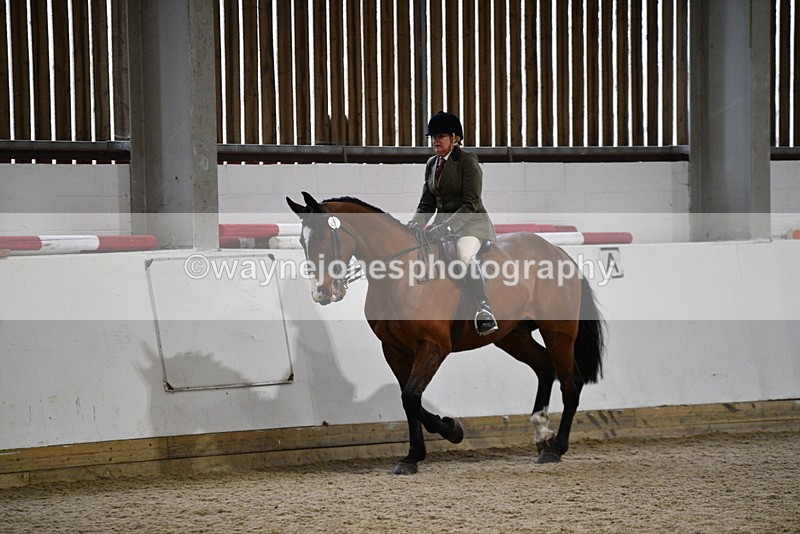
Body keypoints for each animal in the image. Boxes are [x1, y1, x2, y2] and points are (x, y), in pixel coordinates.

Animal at [287, 192, 605, 475]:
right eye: (302, 241)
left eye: (323, 237)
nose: (321, 292)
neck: (403, 274)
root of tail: (558, 252)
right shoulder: (394, 349)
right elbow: (409, 400)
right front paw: (418, 453)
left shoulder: (433, 346)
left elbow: (411, 396)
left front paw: (448, 432)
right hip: (513, 337)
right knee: (545, 367)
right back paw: (541, 434)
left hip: (558, 333)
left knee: (570, 383)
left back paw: (556, 448)